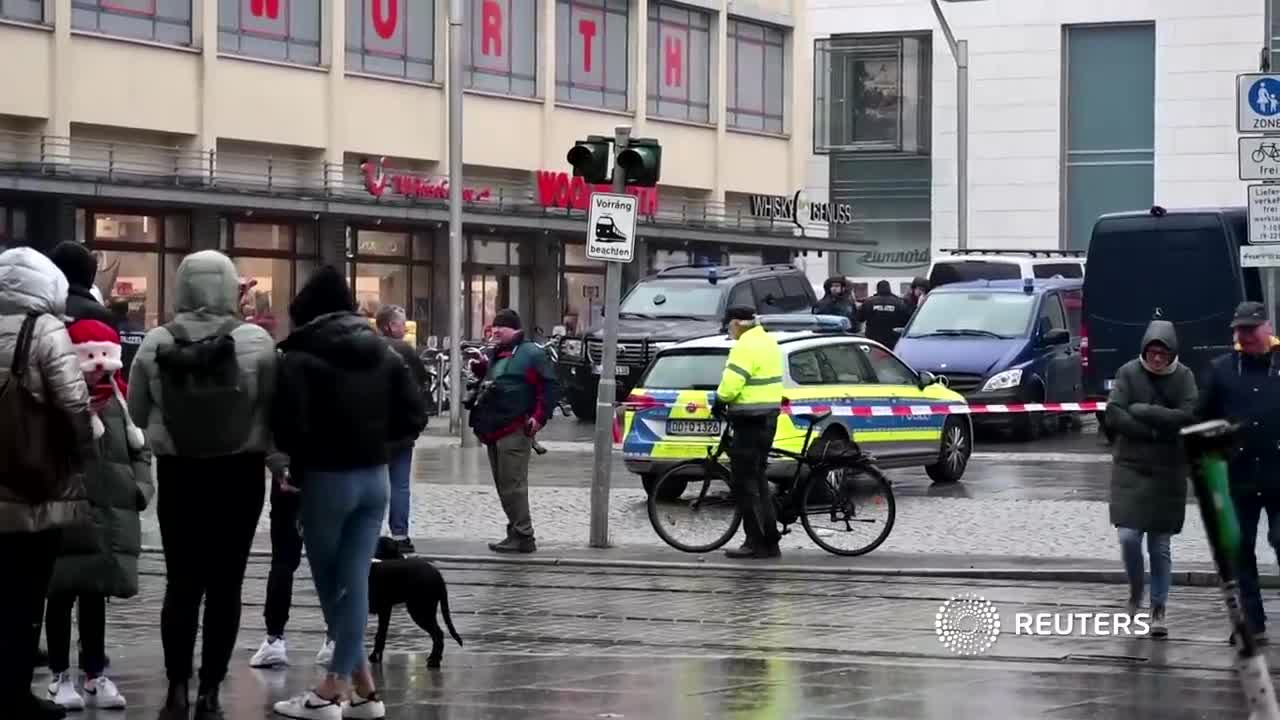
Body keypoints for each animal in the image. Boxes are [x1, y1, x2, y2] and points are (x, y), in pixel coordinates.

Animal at [368, 532, 463, 666]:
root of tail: (437, 574)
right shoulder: (384, 611)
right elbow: (380, 634)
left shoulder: (384, 609)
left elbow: (380, 634)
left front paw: (374, 657)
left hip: (420, 610)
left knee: (438, 633)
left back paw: (434, 660)